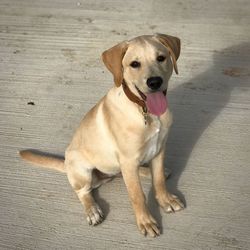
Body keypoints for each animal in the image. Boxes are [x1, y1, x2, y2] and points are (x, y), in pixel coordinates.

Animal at [20, 33, 184, 238]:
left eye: (161, 58)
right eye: (134, 64)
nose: (154, 82)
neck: (144, 111)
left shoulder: (159, 148)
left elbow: (159, 179)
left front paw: (165, 200)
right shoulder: (128, 159)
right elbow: (137, 195)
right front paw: (146, 221)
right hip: (82, 169)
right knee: (83, 192)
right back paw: (92, 210)